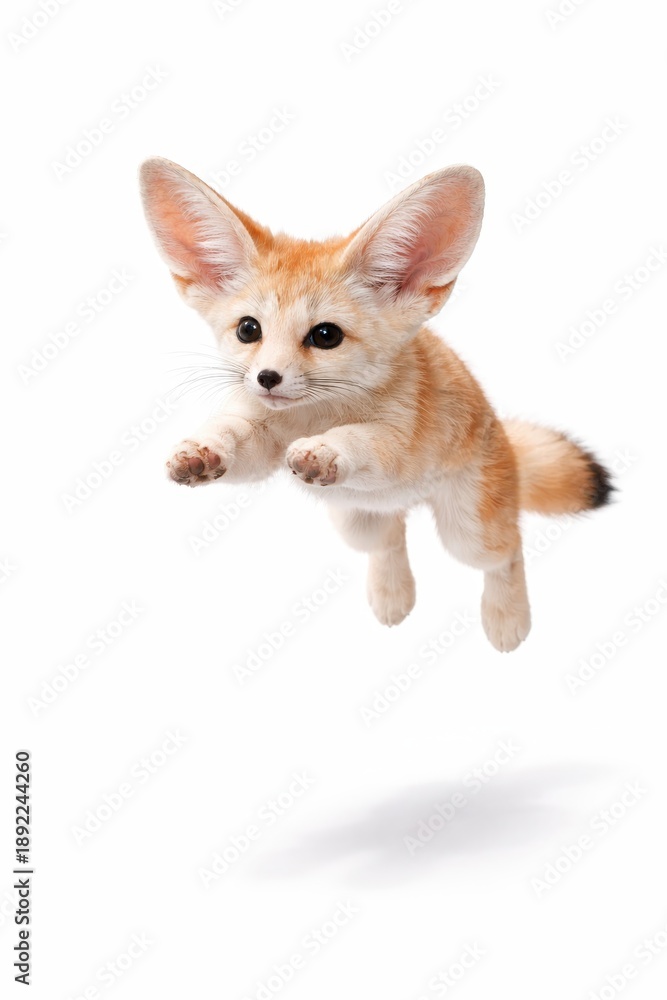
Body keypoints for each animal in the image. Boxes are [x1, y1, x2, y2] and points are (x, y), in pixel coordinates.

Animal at [139, 157, 612, 652]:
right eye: (248, 330)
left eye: (325, 335)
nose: (267, 379)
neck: (310, 416)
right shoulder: (260, 437)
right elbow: (230, 435)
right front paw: (200, 451)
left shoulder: (396, 443)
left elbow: (357, 439)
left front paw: (325, 449)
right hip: (358, 522)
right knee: (391, 539)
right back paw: (393, 596)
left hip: (469, 534)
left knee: (509, 552)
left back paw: (507, 619)